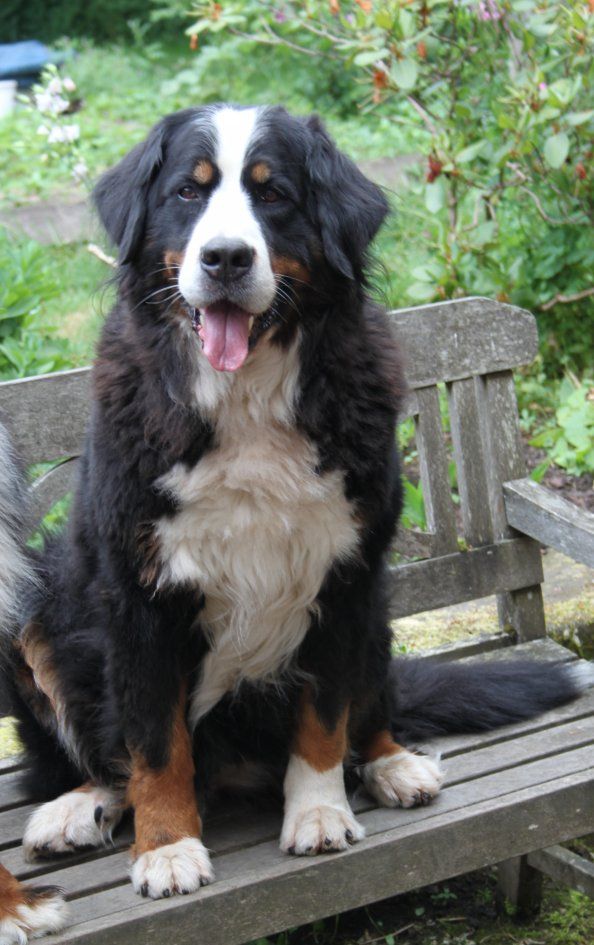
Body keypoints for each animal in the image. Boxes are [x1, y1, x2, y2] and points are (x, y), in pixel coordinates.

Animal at [1, 104, 592, 939]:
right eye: (189, 191)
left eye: (273, 193)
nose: (225, 257)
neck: (246, 401)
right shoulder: (140, 595)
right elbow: (152, 740)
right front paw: (168, 846)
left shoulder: (343, 575)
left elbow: (325, 714)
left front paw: (318, 814)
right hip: (39, 616)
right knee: (101, 751)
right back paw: (78, 807)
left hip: (378, 609)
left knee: (372, 706)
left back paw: (393, 761)